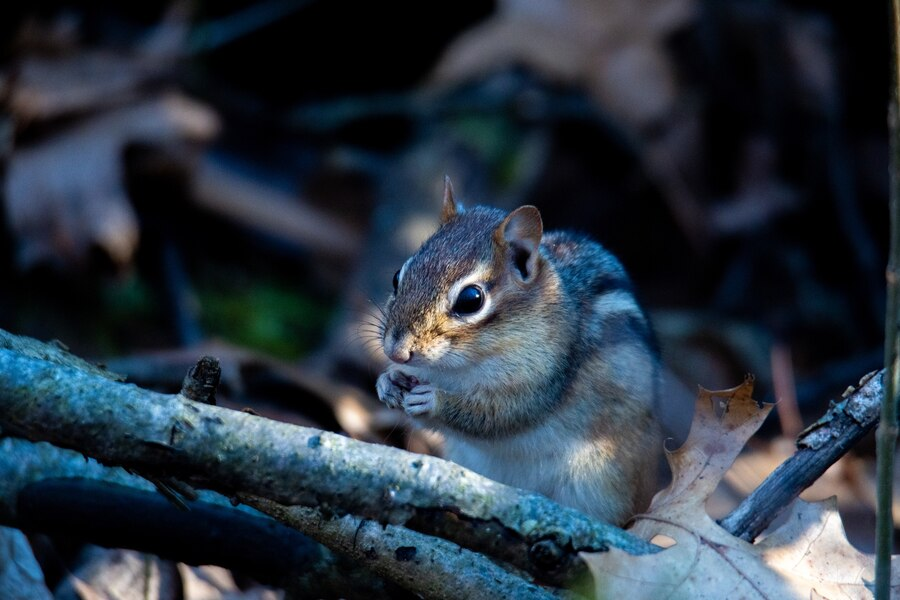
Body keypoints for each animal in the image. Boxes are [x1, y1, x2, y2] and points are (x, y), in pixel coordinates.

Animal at [374, 178, 660, 524]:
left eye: (471, 300)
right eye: (397, 277)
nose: (396, 351)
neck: (459, 368)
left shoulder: (545, 378)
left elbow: (501, 415)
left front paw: (433, 400)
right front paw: (388, 383)